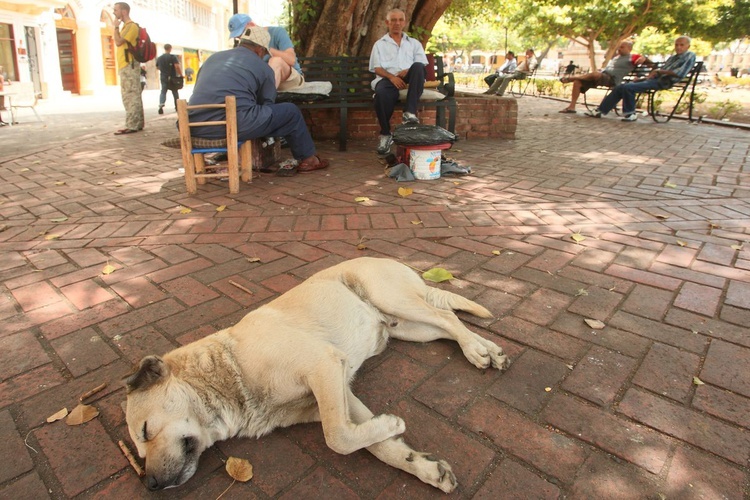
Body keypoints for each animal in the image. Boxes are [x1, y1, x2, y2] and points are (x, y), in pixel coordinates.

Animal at [126, 258, 512, 492]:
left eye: (145, 432)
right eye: (140, 449)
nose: (151, 485)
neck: (232, 369)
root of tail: (392, 260)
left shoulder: (323, 367)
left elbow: (337, 437)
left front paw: (392, 425)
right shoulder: (339, 392)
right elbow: (373, 443)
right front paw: (420, 465)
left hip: (393, 300)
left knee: (446, 317)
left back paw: (476, 351)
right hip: (410, 328)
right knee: (448, 325)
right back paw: (488, 349)